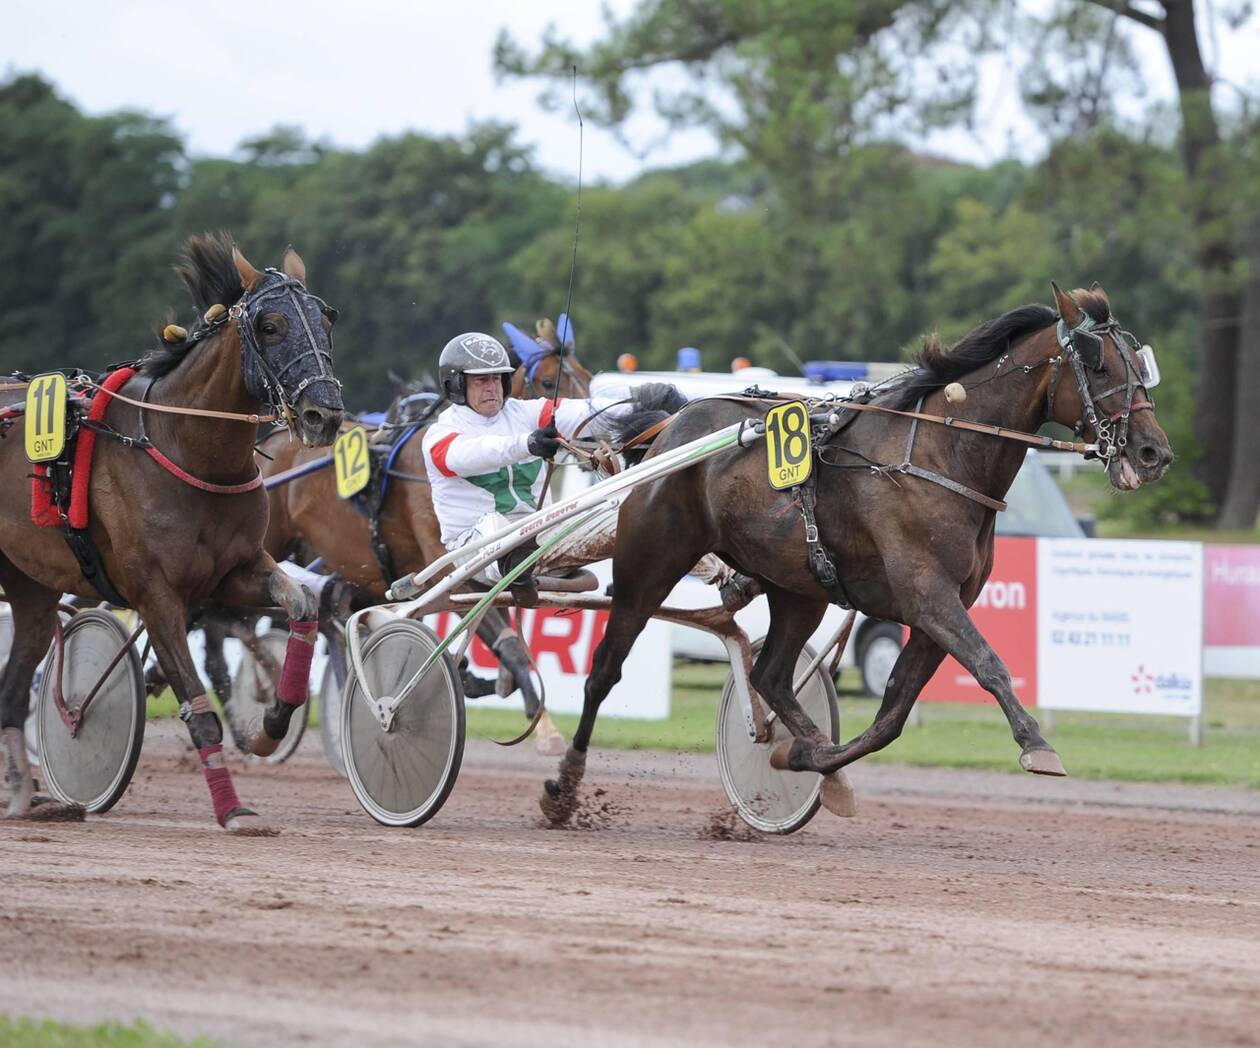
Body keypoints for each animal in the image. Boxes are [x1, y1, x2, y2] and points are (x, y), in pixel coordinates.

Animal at [0, 235, 345, 826]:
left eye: (327, 319)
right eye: (270, 325)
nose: (324, 414)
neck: (185, 447)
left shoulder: (236, 572)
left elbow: (301, 605)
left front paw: (270, 725)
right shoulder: (156, 593)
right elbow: (198, 706)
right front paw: (232, 809)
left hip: (30, 586)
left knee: (13, 689)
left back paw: (25, 796)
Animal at [539, 282, 1169, 821]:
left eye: (1142, 368)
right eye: (1099, 364)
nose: (1152, 452)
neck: (942, 453)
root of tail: (673, 426)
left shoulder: (937, 610)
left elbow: (892, 713)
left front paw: (805, 757)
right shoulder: (929, 596)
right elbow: (988, 665)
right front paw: (1037, 744)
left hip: (798, 590)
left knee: (770, 676)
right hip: (650, 563)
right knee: (605, 670)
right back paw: (563, 785)